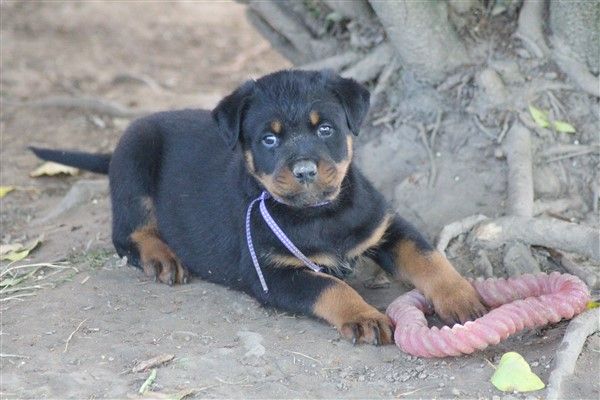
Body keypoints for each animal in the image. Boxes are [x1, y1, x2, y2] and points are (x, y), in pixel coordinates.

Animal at [30, 69, 486, 344]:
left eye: (325, 128)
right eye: (269, 139)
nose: (304, 170)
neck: (320, 214)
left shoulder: (384, 224)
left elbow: (427, 256)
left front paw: (461, 296)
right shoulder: (271, 273)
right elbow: (331, 286)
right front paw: (364, 315)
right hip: (135, 154)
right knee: (128, 233)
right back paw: (162, 257)